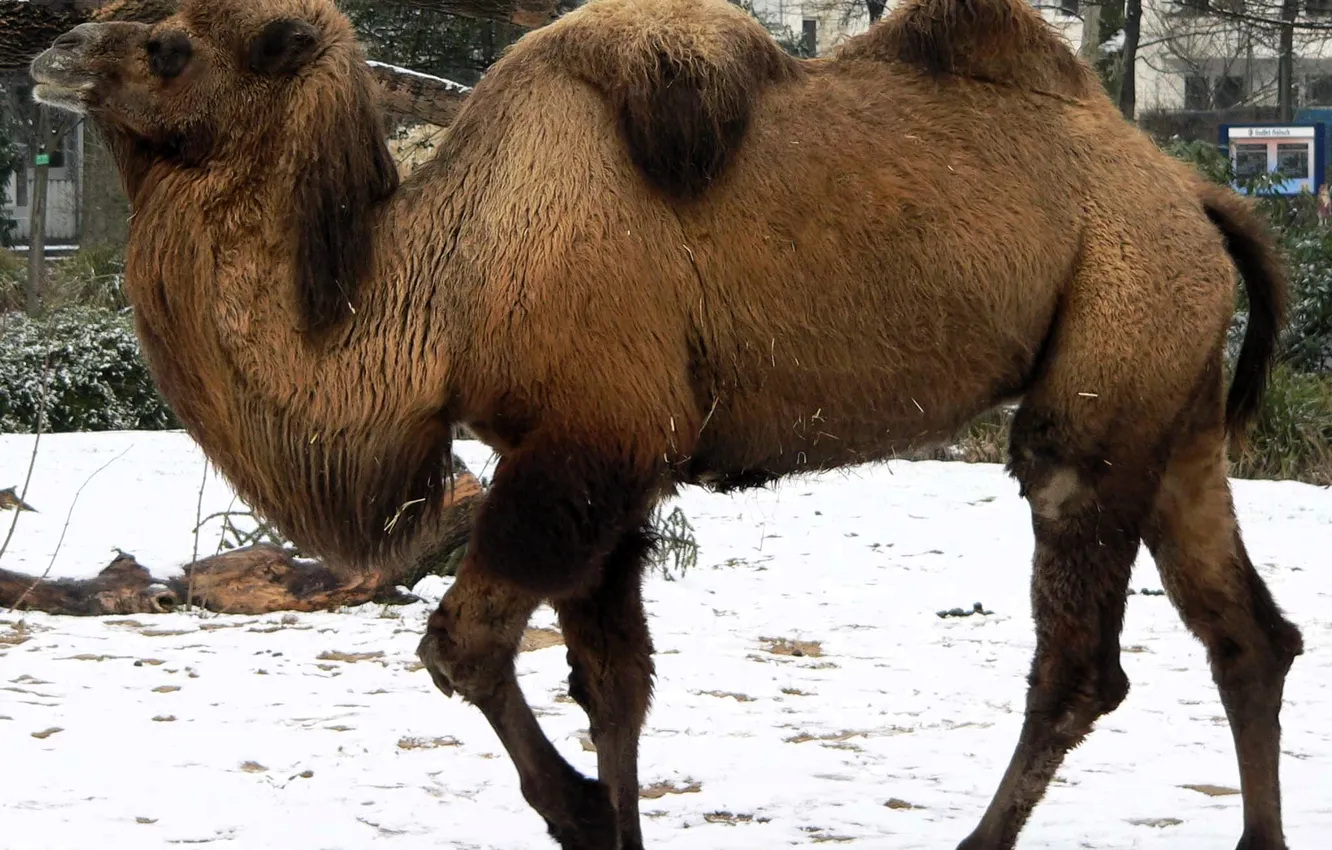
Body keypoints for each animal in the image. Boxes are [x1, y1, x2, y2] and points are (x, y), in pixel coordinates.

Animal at [30, 0, 1303, 847]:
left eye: (168, 42)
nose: (48, 57)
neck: (443, 281)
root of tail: (1196, 192)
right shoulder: (588, 459)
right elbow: (615, 682)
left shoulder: (587, 449)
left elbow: (465, 647)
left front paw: (585, 812)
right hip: (1172, 393)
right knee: (1247, 629)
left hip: (1107, 361)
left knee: (1080, 645)